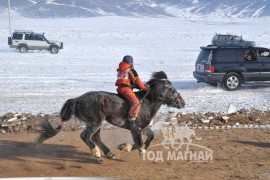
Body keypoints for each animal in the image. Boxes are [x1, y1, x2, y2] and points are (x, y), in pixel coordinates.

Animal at [34, 71, 186, 161]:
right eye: (173, 91)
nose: (183, 103)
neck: (146, 103)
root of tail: (77, 99)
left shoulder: (143, 127)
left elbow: (150, 137)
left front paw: (134, 149)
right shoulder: (135, 128)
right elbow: (138, 143)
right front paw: (125, 147)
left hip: (97, 122)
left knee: (96, 137)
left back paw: (109, 153)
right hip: (95, 121)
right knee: (85, 136)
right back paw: (96, 153)